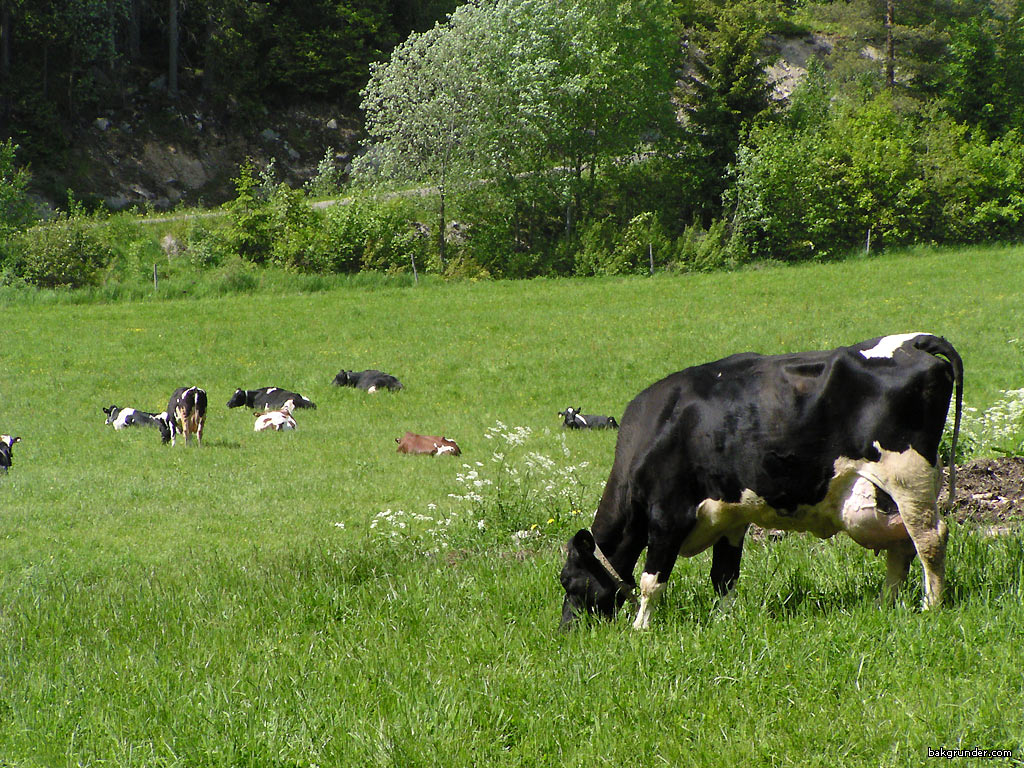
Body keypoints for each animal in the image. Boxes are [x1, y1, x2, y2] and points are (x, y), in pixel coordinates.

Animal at [560, 333, 963, 631]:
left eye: (569, 581)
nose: (567, 630)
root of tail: (914, 341)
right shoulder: (730, 516)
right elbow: (724, 576)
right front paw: (723, 621)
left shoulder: (668, 514)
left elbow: (651, 580)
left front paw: (640, 629)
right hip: (884, 494)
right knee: (902, 545)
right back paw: (886, 603)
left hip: (908, 477)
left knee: (929, 539)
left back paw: (931, 606)